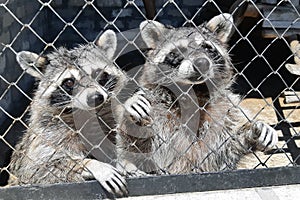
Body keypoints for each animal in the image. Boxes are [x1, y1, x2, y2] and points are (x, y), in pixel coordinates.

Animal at [7, 29, 127, 195]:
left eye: (98, 74)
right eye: (69, 82)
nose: (96, 98)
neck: (85, 113)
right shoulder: (48, 133)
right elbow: (40, 169)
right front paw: (94, 165)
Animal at [116, 14, 278, 176]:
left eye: (207, 47)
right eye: (177, 51)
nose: (201, 63)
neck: (193, 91)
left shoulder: (225, 110)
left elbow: (230, 145)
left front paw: (254, 131)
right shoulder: (158, 103)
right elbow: (135, 142)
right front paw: (133, 103)